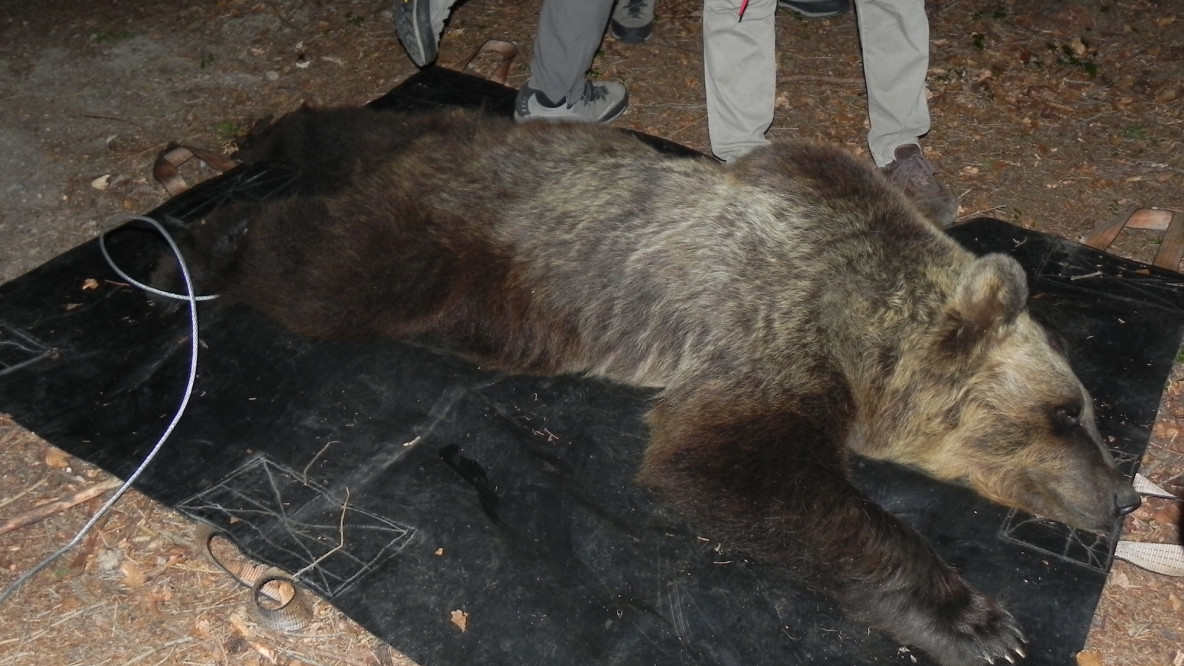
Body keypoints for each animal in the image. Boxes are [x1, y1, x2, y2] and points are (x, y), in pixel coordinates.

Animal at [155, 109, 1136, 663]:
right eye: (1066, 412)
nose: (1125, 496)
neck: (867, 328)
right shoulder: (772, 329)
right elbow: (724, 464)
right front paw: (978, 622)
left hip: (469, 202)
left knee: (356, 131)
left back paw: (276, 138)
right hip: (447, 240)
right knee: (325, 273)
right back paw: (208, 238)